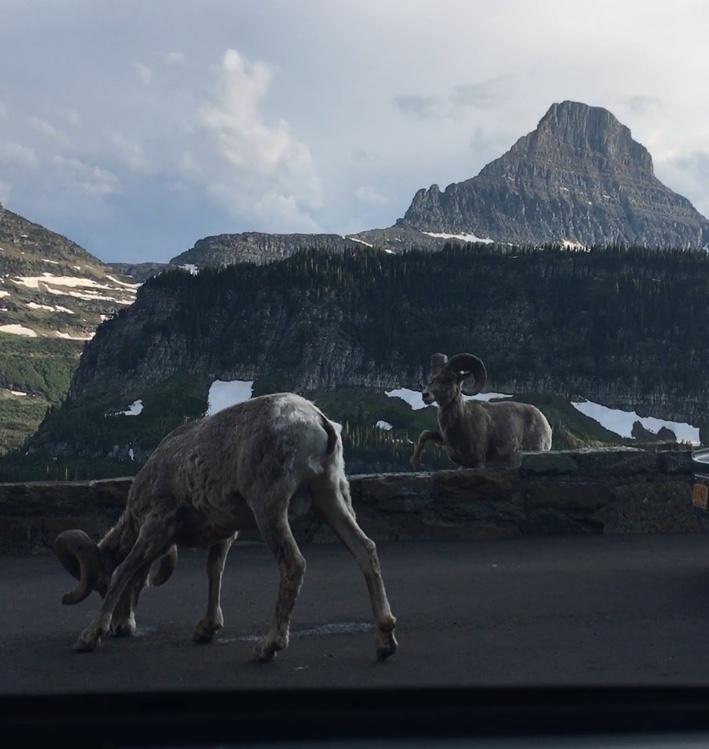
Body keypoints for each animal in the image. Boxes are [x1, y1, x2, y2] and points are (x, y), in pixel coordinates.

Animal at [54, 392, 398, 660]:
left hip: (269, 508)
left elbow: (125, 569)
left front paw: (89, 637)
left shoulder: (156, 525)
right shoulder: (224, 533)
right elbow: (214, 572)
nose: (121, 628)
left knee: (294, 564)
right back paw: (384, 641)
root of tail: (317, 422)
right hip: (332, 496)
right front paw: (206, 629)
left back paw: (268, 647)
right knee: (365, 550)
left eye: (100, 585)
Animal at [410, 350, 552, 468]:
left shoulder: (478, 462)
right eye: (432, 378)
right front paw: (416, 462)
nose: (425, 395)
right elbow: (425, 434)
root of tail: (545, 422)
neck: (462, 421)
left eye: (449, 379)